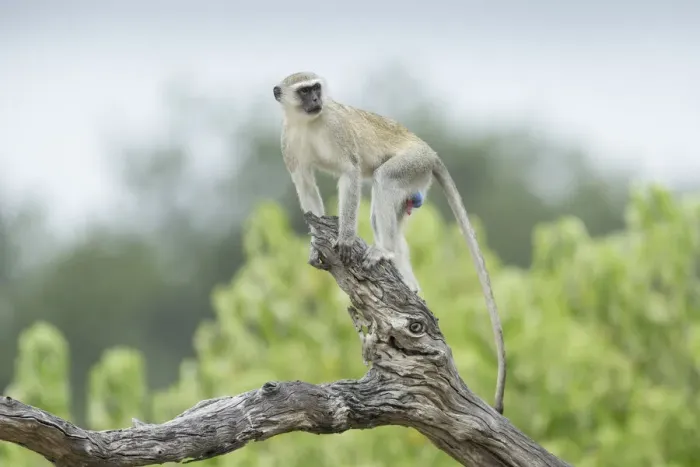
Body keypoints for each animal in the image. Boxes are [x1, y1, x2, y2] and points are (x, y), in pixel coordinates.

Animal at [273, 71, 506, 414]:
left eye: (315, 88)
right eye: (304, 92)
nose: (316, 100)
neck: (308, 123)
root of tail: (430, 151)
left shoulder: (336, 129)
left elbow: (350, 172)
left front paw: (344, 238)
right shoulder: (288, 142)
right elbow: (305, 185)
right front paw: (317, 243)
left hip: (412, 164)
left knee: (384, 180)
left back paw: (384, 251)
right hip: (415, 181)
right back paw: (406, 277)